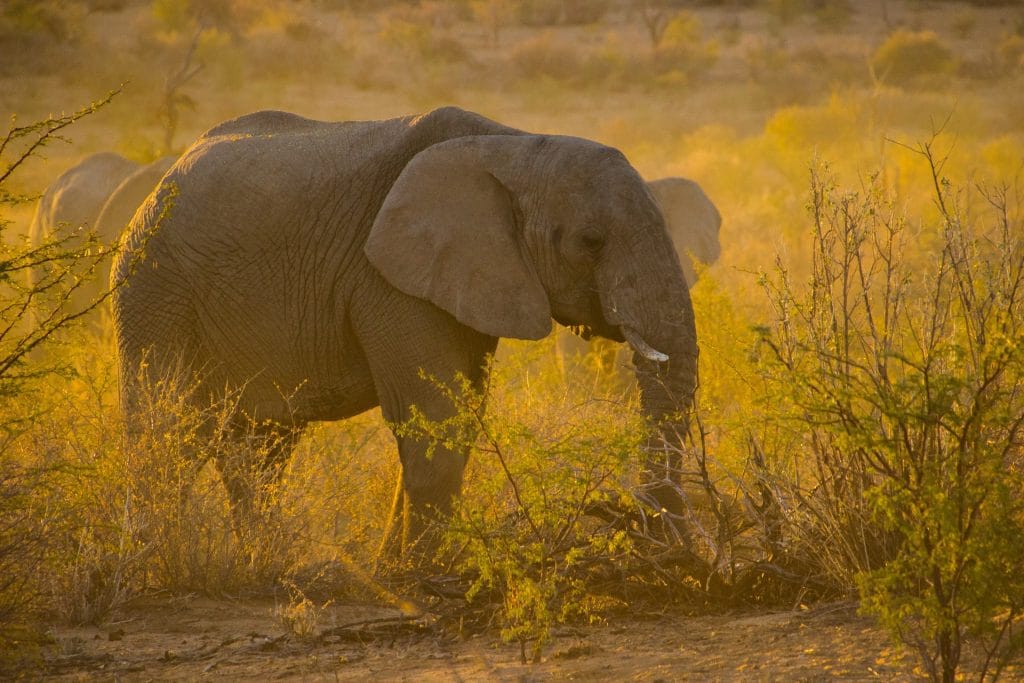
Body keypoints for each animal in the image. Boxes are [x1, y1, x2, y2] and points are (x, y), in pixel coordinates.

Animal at [112, 106, 699, 557]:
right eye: (591, 241)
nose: (642, 532)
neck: (514, 145)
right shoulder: (386, 278)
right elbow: (435, 417)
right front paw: (417, 574)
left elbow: (460, 414)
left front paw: (397, 569)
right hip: (153, 290)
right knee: (168, 434)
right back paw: (159, 567)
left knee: (258, 450)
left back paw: (268, 566)